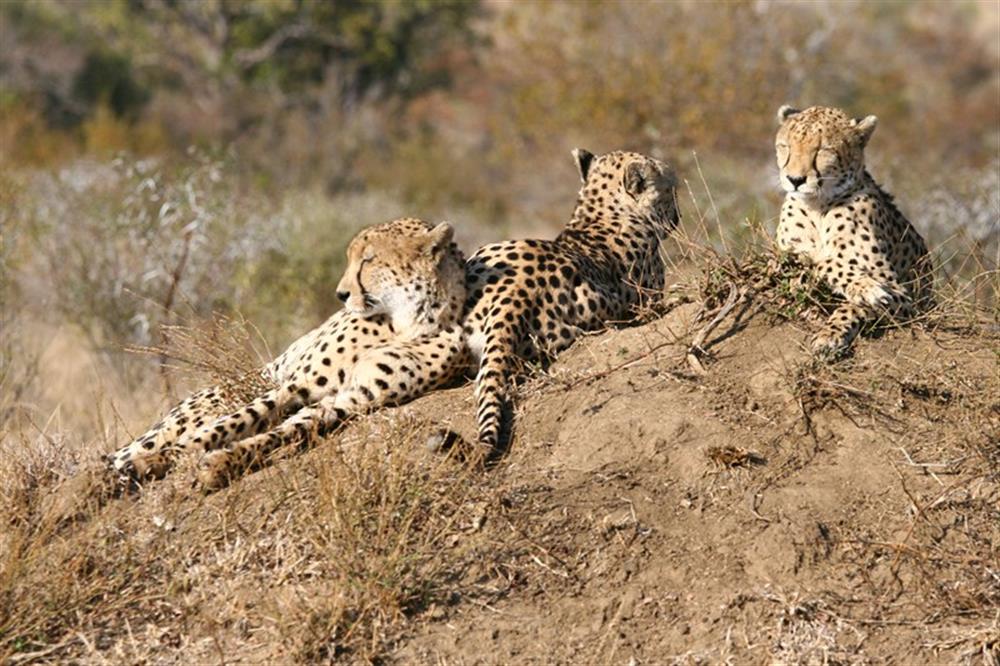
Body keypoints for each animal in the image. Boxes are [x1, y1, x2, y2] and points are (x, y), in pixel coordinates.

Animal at [108, 218, 468, 488]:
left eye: (369, 259)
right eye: (355, 258)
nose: (341, 294)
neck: (406, 321)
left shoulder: (353, 397)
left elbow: (285, 431)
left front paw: (222, 463)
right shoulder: (295, 385)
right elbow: (231, 423)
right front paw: (156, 461)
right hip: (203, 404)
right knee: (139, 444)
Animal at [776, 104, 932, 356]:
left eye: (823, 150)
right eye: (786, 147)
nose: (795, 179)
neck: (818, 206)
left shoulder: (905, 297)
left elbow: (845, 293)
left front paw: (830, 334)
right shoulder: (782, 257)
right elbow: (809, 262)